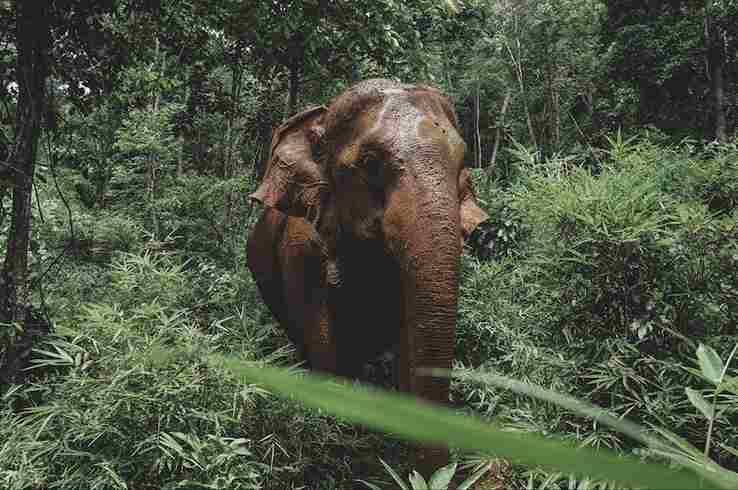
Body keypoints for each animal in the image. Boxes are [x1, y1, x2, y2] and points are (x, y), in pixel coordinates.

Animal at [247, 79, 491, 476]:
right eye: (369, 163)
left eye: (461, 162)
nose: (439, 475)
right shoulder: (301, 255)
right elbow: (325, 348)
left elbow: (409, 344)